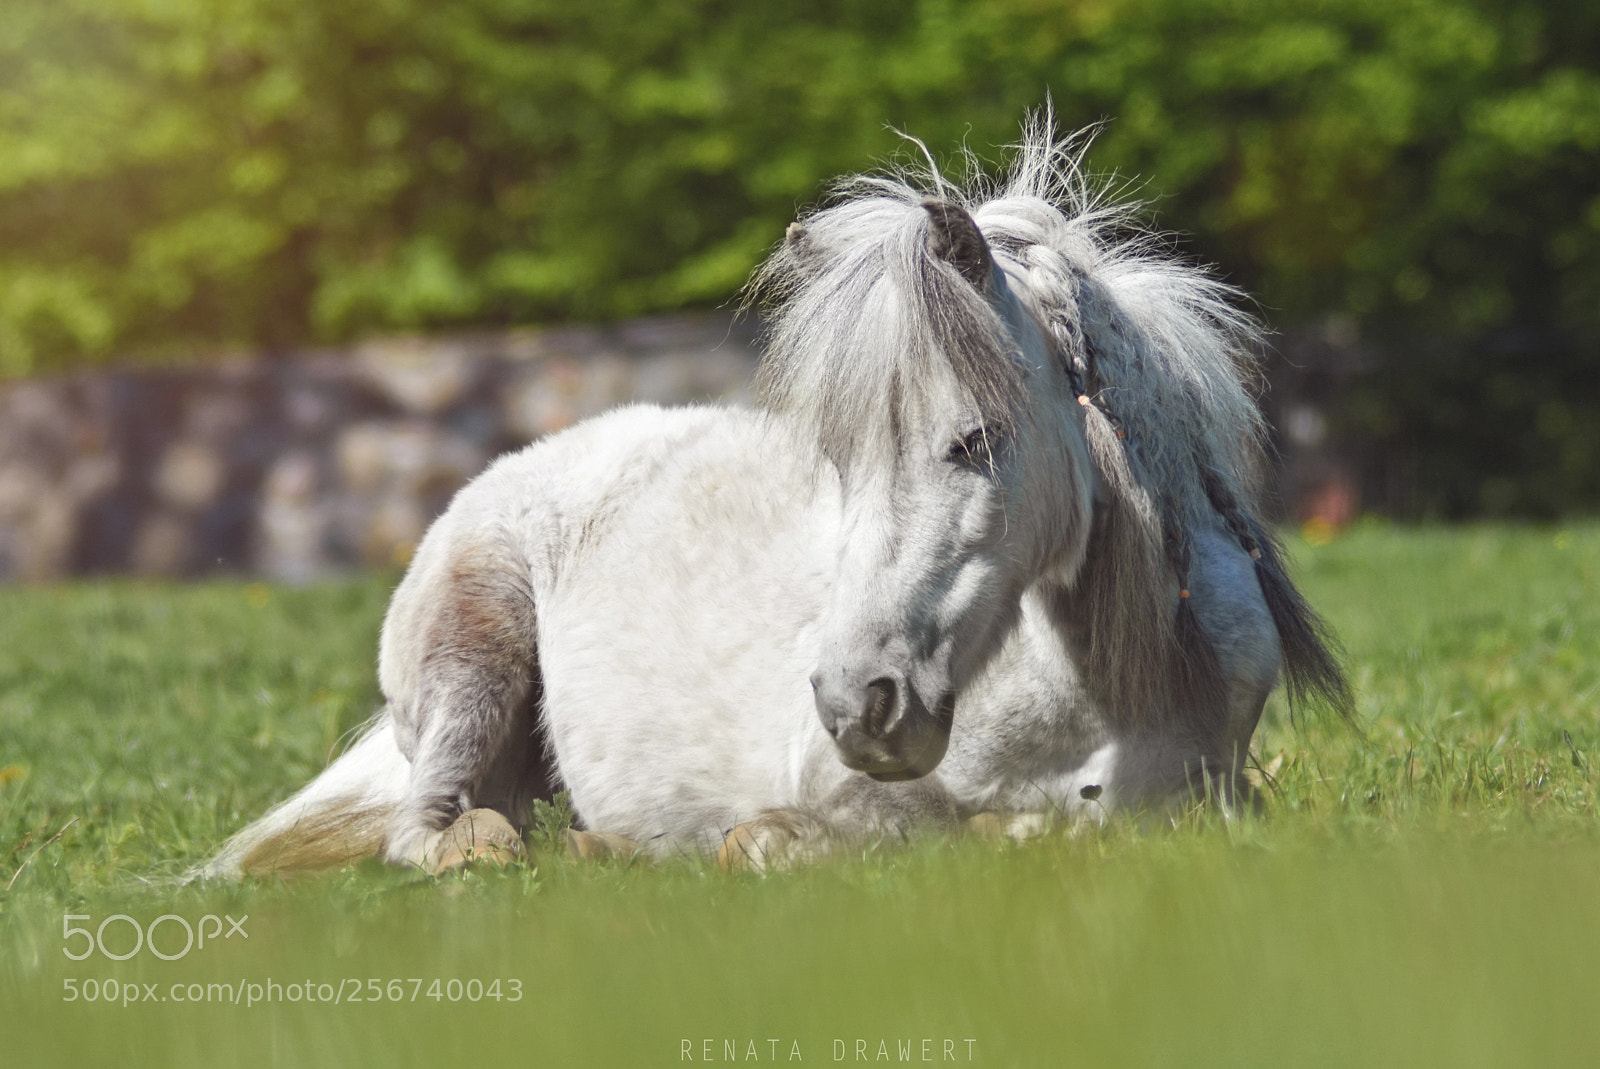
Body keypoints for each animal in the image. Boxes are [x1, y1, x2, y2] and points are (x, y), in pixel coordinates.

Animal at [195, 114, 1349, 879]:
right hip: (469, 666)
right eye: (839, 457)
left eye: (975, 438)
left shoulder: (1216, 795)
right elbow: (902, 836)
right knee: (431, 836)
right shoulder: (850, 799)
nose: (857, 704)